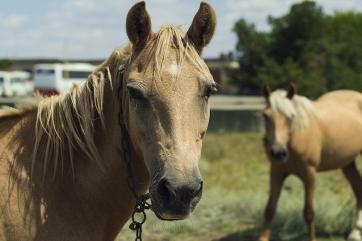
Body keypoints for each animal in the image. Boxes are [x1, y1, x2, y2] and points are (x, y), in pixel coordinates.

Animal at [258, 85, 362, 241]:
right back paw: (355, 233)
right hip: (347, 163)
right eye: (265, 116)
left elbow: (309, 212)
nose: (278, 152)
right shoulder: (276, 172)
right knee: (358, 189)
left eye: (291, 116)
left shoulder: (309, 174)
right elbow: (270, 209)